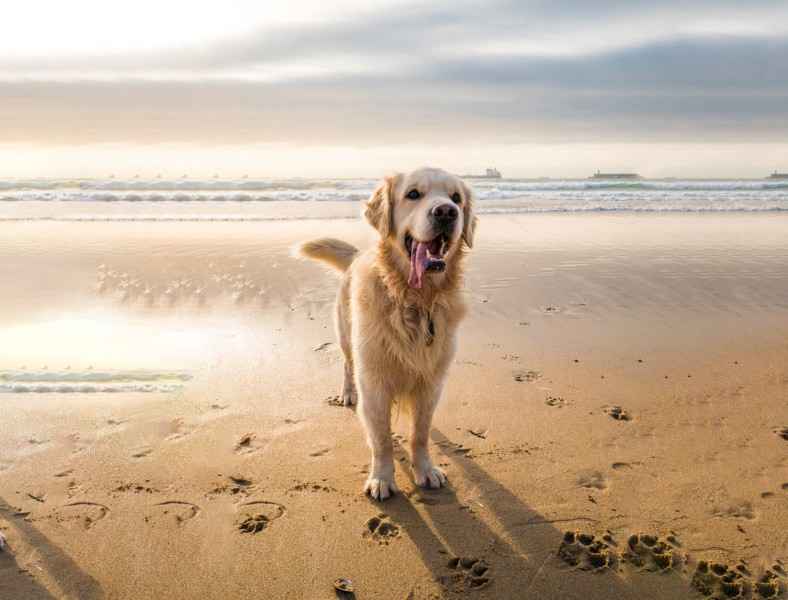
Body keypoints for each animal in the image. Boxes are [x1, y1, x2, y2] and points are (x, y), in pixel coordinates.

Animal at [298, 166, 478, 500]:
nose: (446, 212)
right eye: (413, 194)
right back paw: (347, 393)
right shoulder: (374, 382)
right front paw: (381, 478)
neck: (415, 300)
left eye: (456, 198)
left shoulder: (431, 382)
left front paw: (425, 469)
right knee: (347, 365)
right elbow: (381, 438)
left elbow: (420, 432)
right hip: (346, 338)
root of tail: (356, 255)